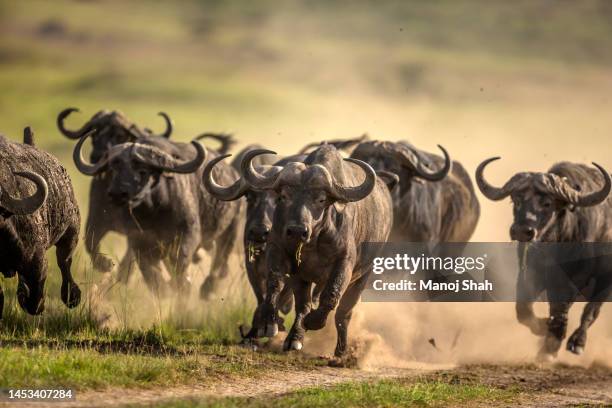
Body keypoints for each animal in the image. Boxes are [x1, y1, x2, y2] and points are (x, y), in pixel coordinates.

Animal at [73, 132, 241, 298]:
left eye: (143, 171)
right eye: (113, 169)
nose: (117, 194)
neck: (154, 213)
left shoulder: (187, 236)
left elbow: (180, 269)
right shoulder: (139, 243)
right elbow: (152, 277)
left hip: (230, 232)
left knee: (220, 261)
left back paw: (208, 289)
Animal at [239, 146, 392, 360]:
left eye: (321, 199)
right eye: (283, 196)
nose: (296, 231)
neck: (314, 241)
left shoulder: (344, 263)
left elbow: (331, 296)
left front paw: (312, 322)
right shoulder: (283, 256)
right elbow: (281, 289)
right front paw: (279, 330)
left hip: (364, 275)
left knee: (344, 312)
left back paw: (341, 351)